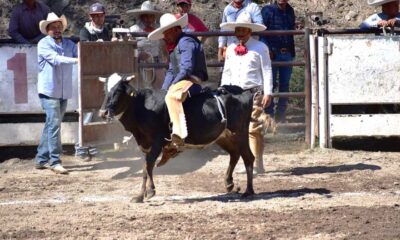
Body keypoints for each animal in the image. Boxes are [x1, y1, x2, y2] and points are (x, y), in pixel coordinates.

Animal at [100, 77, 256, 202]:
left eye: (118, 91)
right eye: (106, 90)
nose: (103, 112)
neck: (142, 106)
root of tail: (243, 91)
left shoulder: (158, 142)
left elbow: (148, 166)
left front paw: (149, 192)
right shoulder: (145, 145)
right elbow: (145, 167)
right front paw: (140, 196)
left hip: (240, 133)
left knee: (248, 157)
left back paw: (249, 191)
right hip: (223, 136)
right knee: (235, 154)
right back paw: (229, 183)